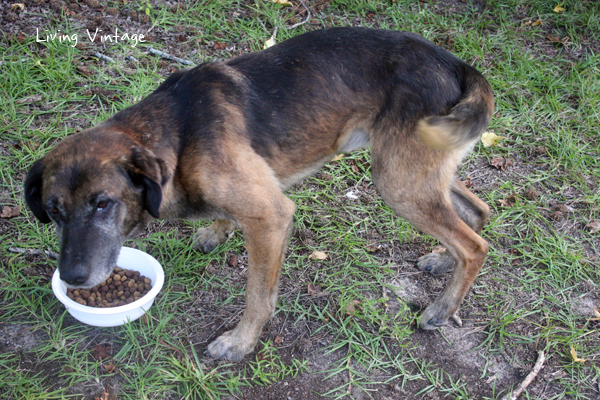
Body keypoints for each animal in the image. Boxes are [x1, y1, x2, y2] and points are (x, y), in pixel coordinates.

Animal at [23, 26, 492, 360]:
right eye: (54, 211)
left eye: (103, 204)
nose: (72, 278)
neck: (178, 132)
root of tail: (458, 65)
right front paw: (217, 230)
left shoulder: (271, 217)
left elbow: (257, 298)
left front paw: (240, 343)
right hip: (416, 169)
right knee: (478, 211)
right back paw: (441, 260)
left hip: (397, 181)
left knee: (475, 245)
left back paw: (442, 308)